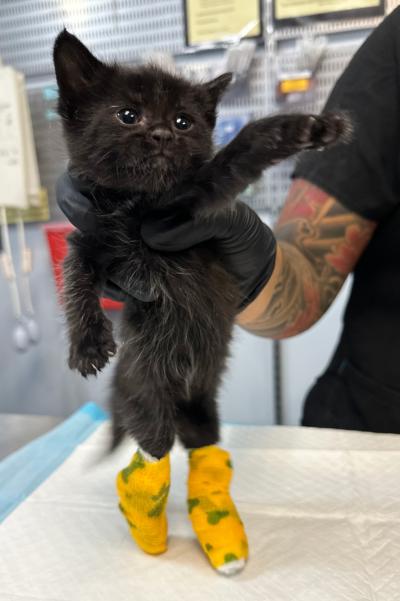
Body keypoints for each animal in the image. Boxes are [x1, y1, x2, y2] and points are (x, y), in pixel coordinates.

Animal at [54, 30, 350, 458]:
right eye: (128, 115)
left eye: (183, 121)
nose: (162, 134)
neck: (137, 204)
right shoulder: (89, 233)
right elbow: (74, 273)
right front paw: (87, 343)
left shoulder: (189, 203)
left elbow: (232, 155)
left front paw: (302, 128)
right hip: (144, 391)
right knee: (148, 426)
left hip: (201, 409)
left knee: (195, 436)